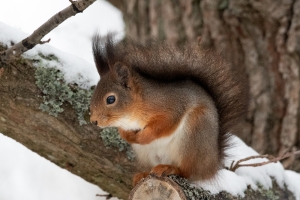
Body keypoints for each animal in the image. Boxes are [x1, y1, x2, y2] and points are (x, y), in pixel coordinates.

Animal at [89, 34, 248, 186]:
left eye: (111, 99)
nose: (93, 121)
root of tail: (212, 165)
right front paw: (128, 136)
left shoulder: (172, 108)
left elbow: (162, 126)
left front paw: (142, 137)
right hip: (147, 154)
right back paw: (143, 174)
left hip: (193, 135)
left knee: (188, 172)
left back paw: (170, 168)